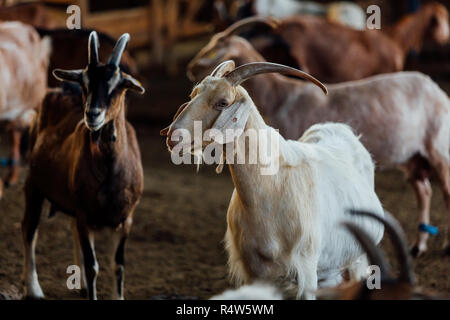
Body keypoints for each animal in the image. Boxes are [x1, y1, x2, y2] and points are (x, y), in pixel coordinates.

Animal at [22, 31, 145, 298]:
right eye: (85, 84)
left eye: (118, 85)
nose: (92, 114)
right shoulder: (84, 213)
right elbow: (92, 265)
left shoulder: (126, 218)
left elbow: (118, 265)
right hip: (34, 185)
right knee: (29, 229)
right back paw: (34, 287)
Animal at [162, 61, 384, 298]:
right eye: (193, 94)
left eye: (223, 102)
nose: (173, 137)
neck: (271, 189)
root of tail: (338, 127)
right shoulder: (254, 272)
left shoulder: (306, 270)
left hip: (357, 260)